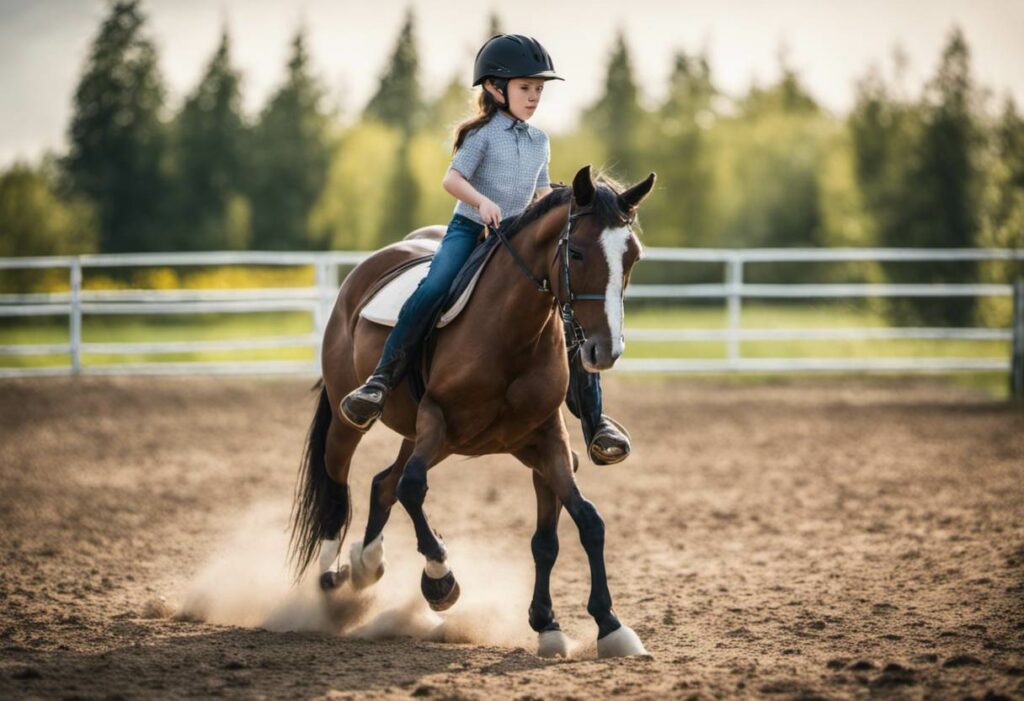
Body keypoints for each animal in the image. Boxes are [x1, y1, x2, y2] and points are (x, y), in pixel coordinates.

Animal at [288, 163, 655, 654]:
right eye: (576, 253)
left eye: (631, 257)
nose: (605, 350)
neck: (510, 335)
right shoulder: (438, 419)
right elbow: (413, 489)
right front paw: (440, 582)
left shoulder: (547, 442)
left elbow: (579, 524)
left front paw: (596, 625)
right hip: (359, 425)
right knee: (341, 485)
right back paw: (333, 572)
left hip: (425, 438)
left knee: (383, 483)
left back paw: (366, 563)